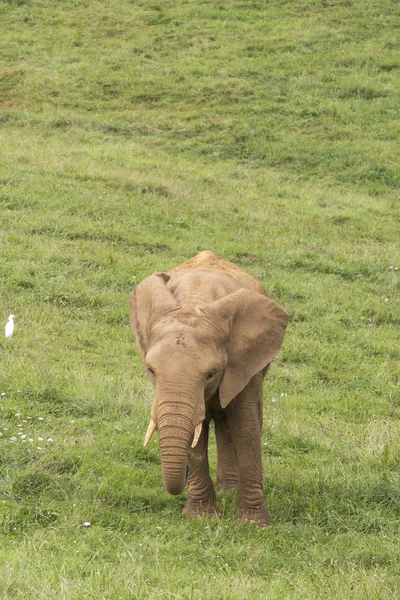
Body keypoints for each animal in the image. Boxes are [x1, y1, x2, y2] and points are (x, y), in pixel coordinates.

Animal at [130, 251, 290, 524]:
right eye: (151, 370)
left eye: (211, 374)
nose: (179, 483)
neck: (194, 302)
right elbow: (199, 431)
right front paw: (200, 517)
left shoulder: (244, 361)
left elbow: (245, 426)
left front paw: (254, 524)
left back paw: (229, 491)